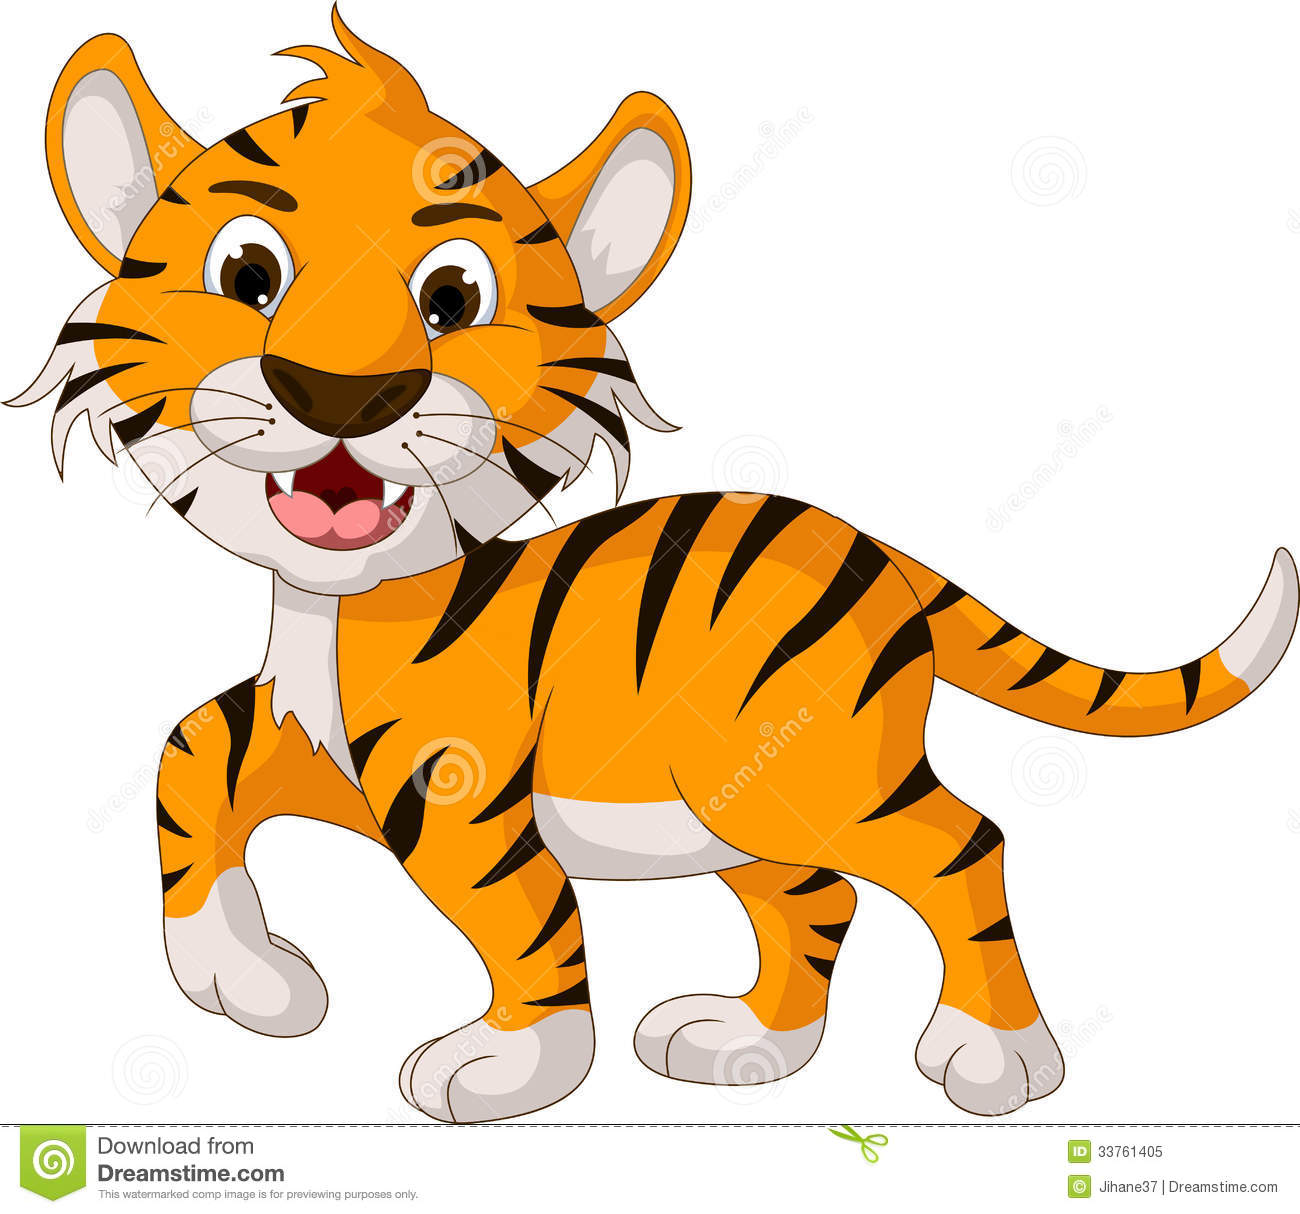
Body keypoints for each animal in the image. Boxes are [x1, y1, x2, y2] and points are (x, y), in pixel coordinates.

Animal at [9, 8, 1297, 1123]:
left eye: (453, 295)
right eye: (249, 274)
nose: (340, 391)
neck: (340, 609)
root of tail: (869, 545)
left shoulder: (459, 797)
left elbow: (524, 925)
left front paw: (507, 1066)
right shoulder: (308, 742)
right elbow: (188, 754)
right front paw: (246, 976)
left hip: (805, 774)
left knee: (959, 844)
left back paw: (996, 1054)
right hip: (737, 798)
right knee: (816, 892)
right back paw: (746, 1043)